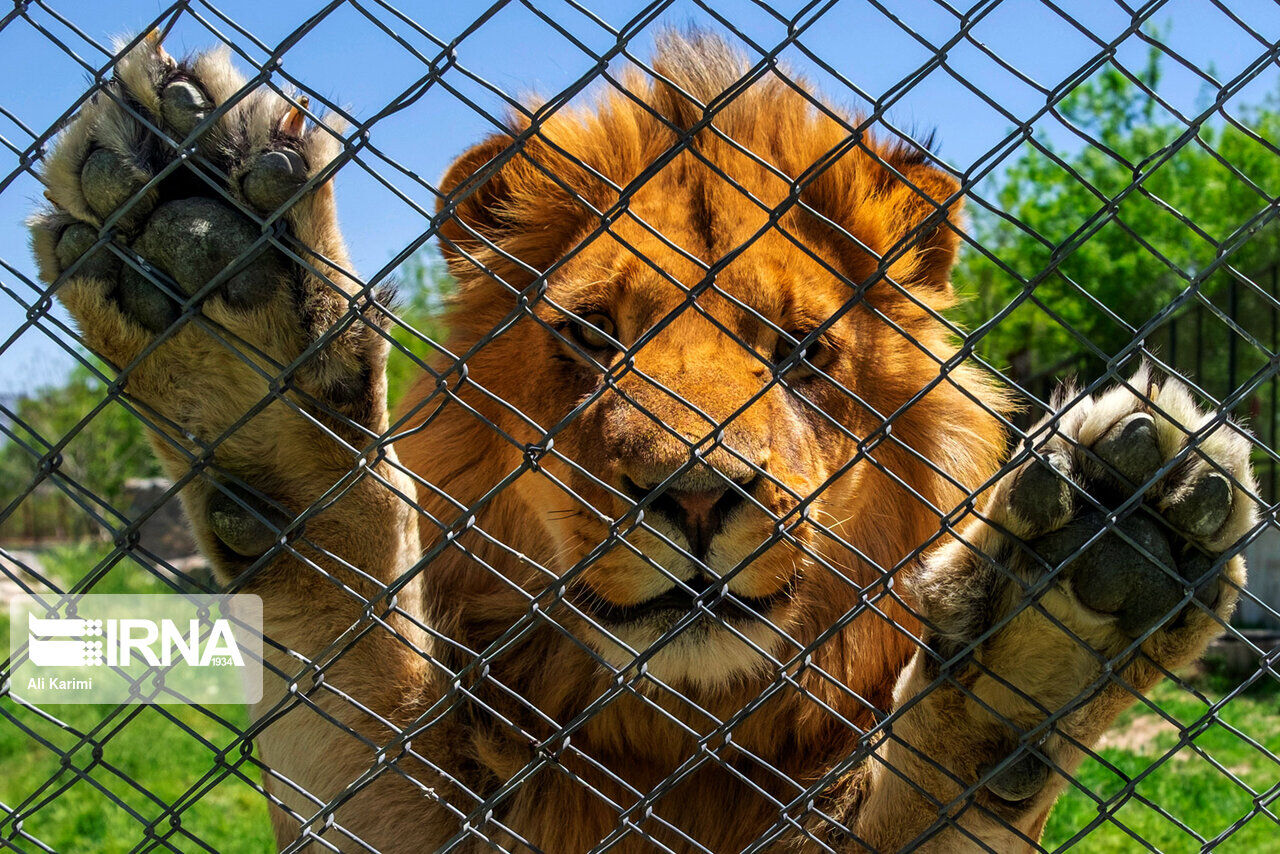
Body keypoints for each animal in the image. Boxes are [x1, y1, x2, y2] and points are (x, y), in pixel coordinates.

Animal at [32, 28, 1259, 854]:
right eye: (592, 335)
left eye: (801, 349)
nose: (699, 495)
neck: (680, 743)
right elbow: (353, 625)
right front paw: (213, 272)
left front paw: (1079, 589)